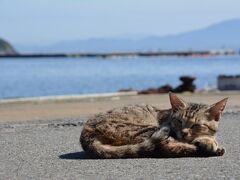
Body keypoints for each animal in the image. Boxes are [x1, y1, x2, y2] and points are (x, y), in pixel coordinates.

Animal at [80, 92, 227, 158]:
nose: (184, 132)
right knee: (165, 146)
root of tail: (86, 134)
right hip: (147, 128)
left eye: (195, 125)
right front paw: (208, 141)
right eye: (179, 121)